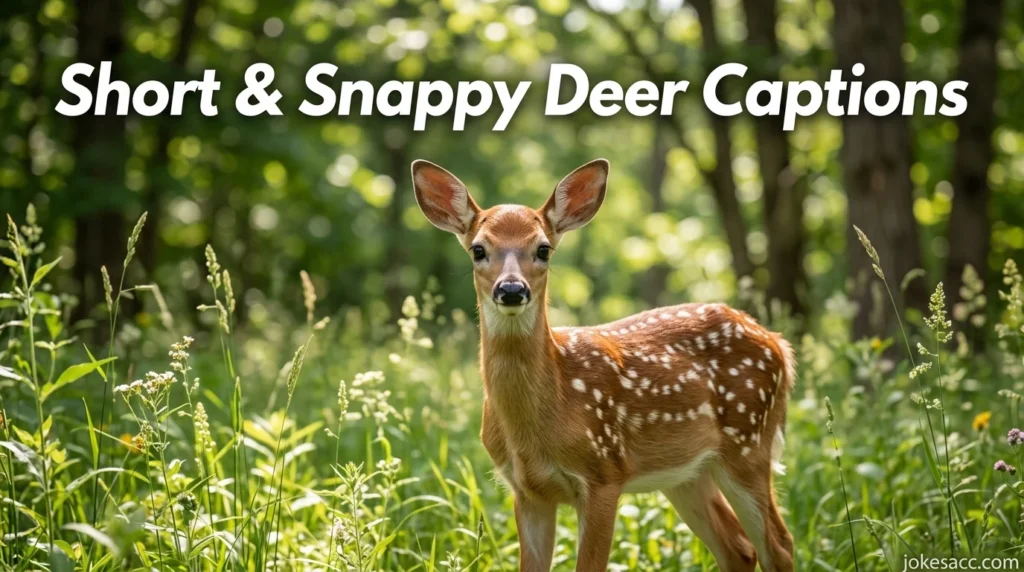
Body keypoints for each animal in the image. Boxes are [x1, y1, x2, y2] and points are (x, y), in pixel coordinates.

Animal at [411, 158, 795, 572]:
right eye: (479, 249)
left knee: (779, 544)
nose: (511, 290)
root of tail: (779, 344)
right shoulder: (527, 490)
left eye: (543, 249)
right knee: (739, 548)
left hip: (748, 443)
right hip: (688, 473)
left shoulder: (604, 474)